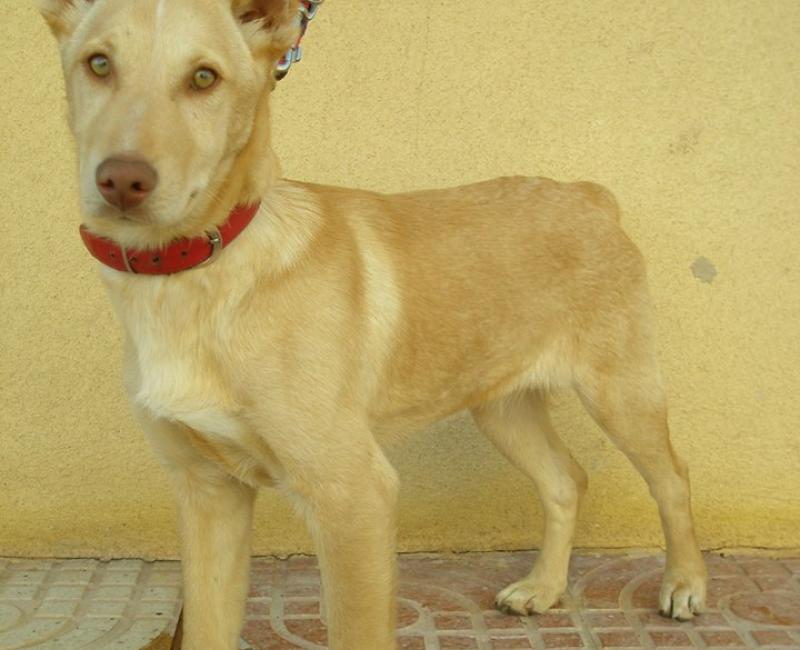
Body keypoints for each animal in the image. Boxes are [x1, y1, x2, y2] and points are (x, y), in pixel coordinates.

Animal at [38, 1, 708, 648]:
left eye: (204, 78)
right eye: (99, 64)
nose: (122, 180)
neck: (198, 277)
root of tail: (589, 195)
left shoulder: (353, 495)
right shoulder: (209, 492)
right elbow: (206, 629)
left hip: (622, 392)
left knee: (673, 478)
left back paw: (685, 584)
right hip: (501, 404)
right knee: (566, 480)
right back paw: (543, 588)